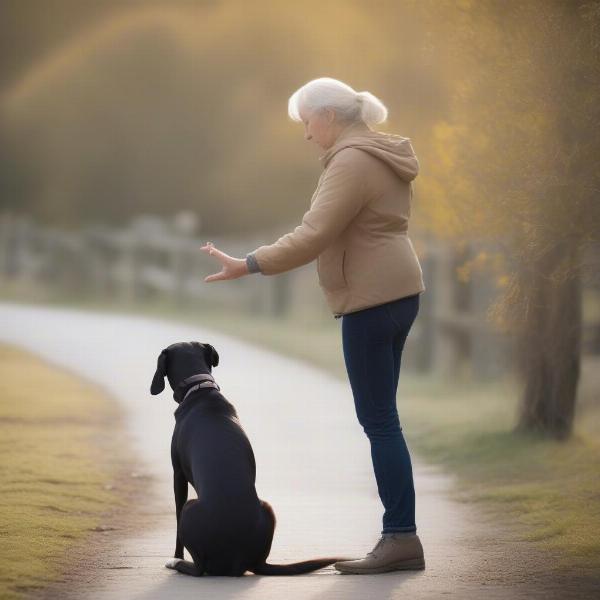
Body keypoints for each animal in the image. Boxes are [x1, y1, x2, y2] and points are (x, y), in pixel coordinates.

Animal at [149, 342, 352, 576]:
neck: (200, 389)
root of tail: (238, 561)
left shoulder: (178, 475)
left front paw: (176, 556)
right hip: (268, 507)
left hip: (190, 508)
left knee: (198, 568)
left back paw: (176, 563)